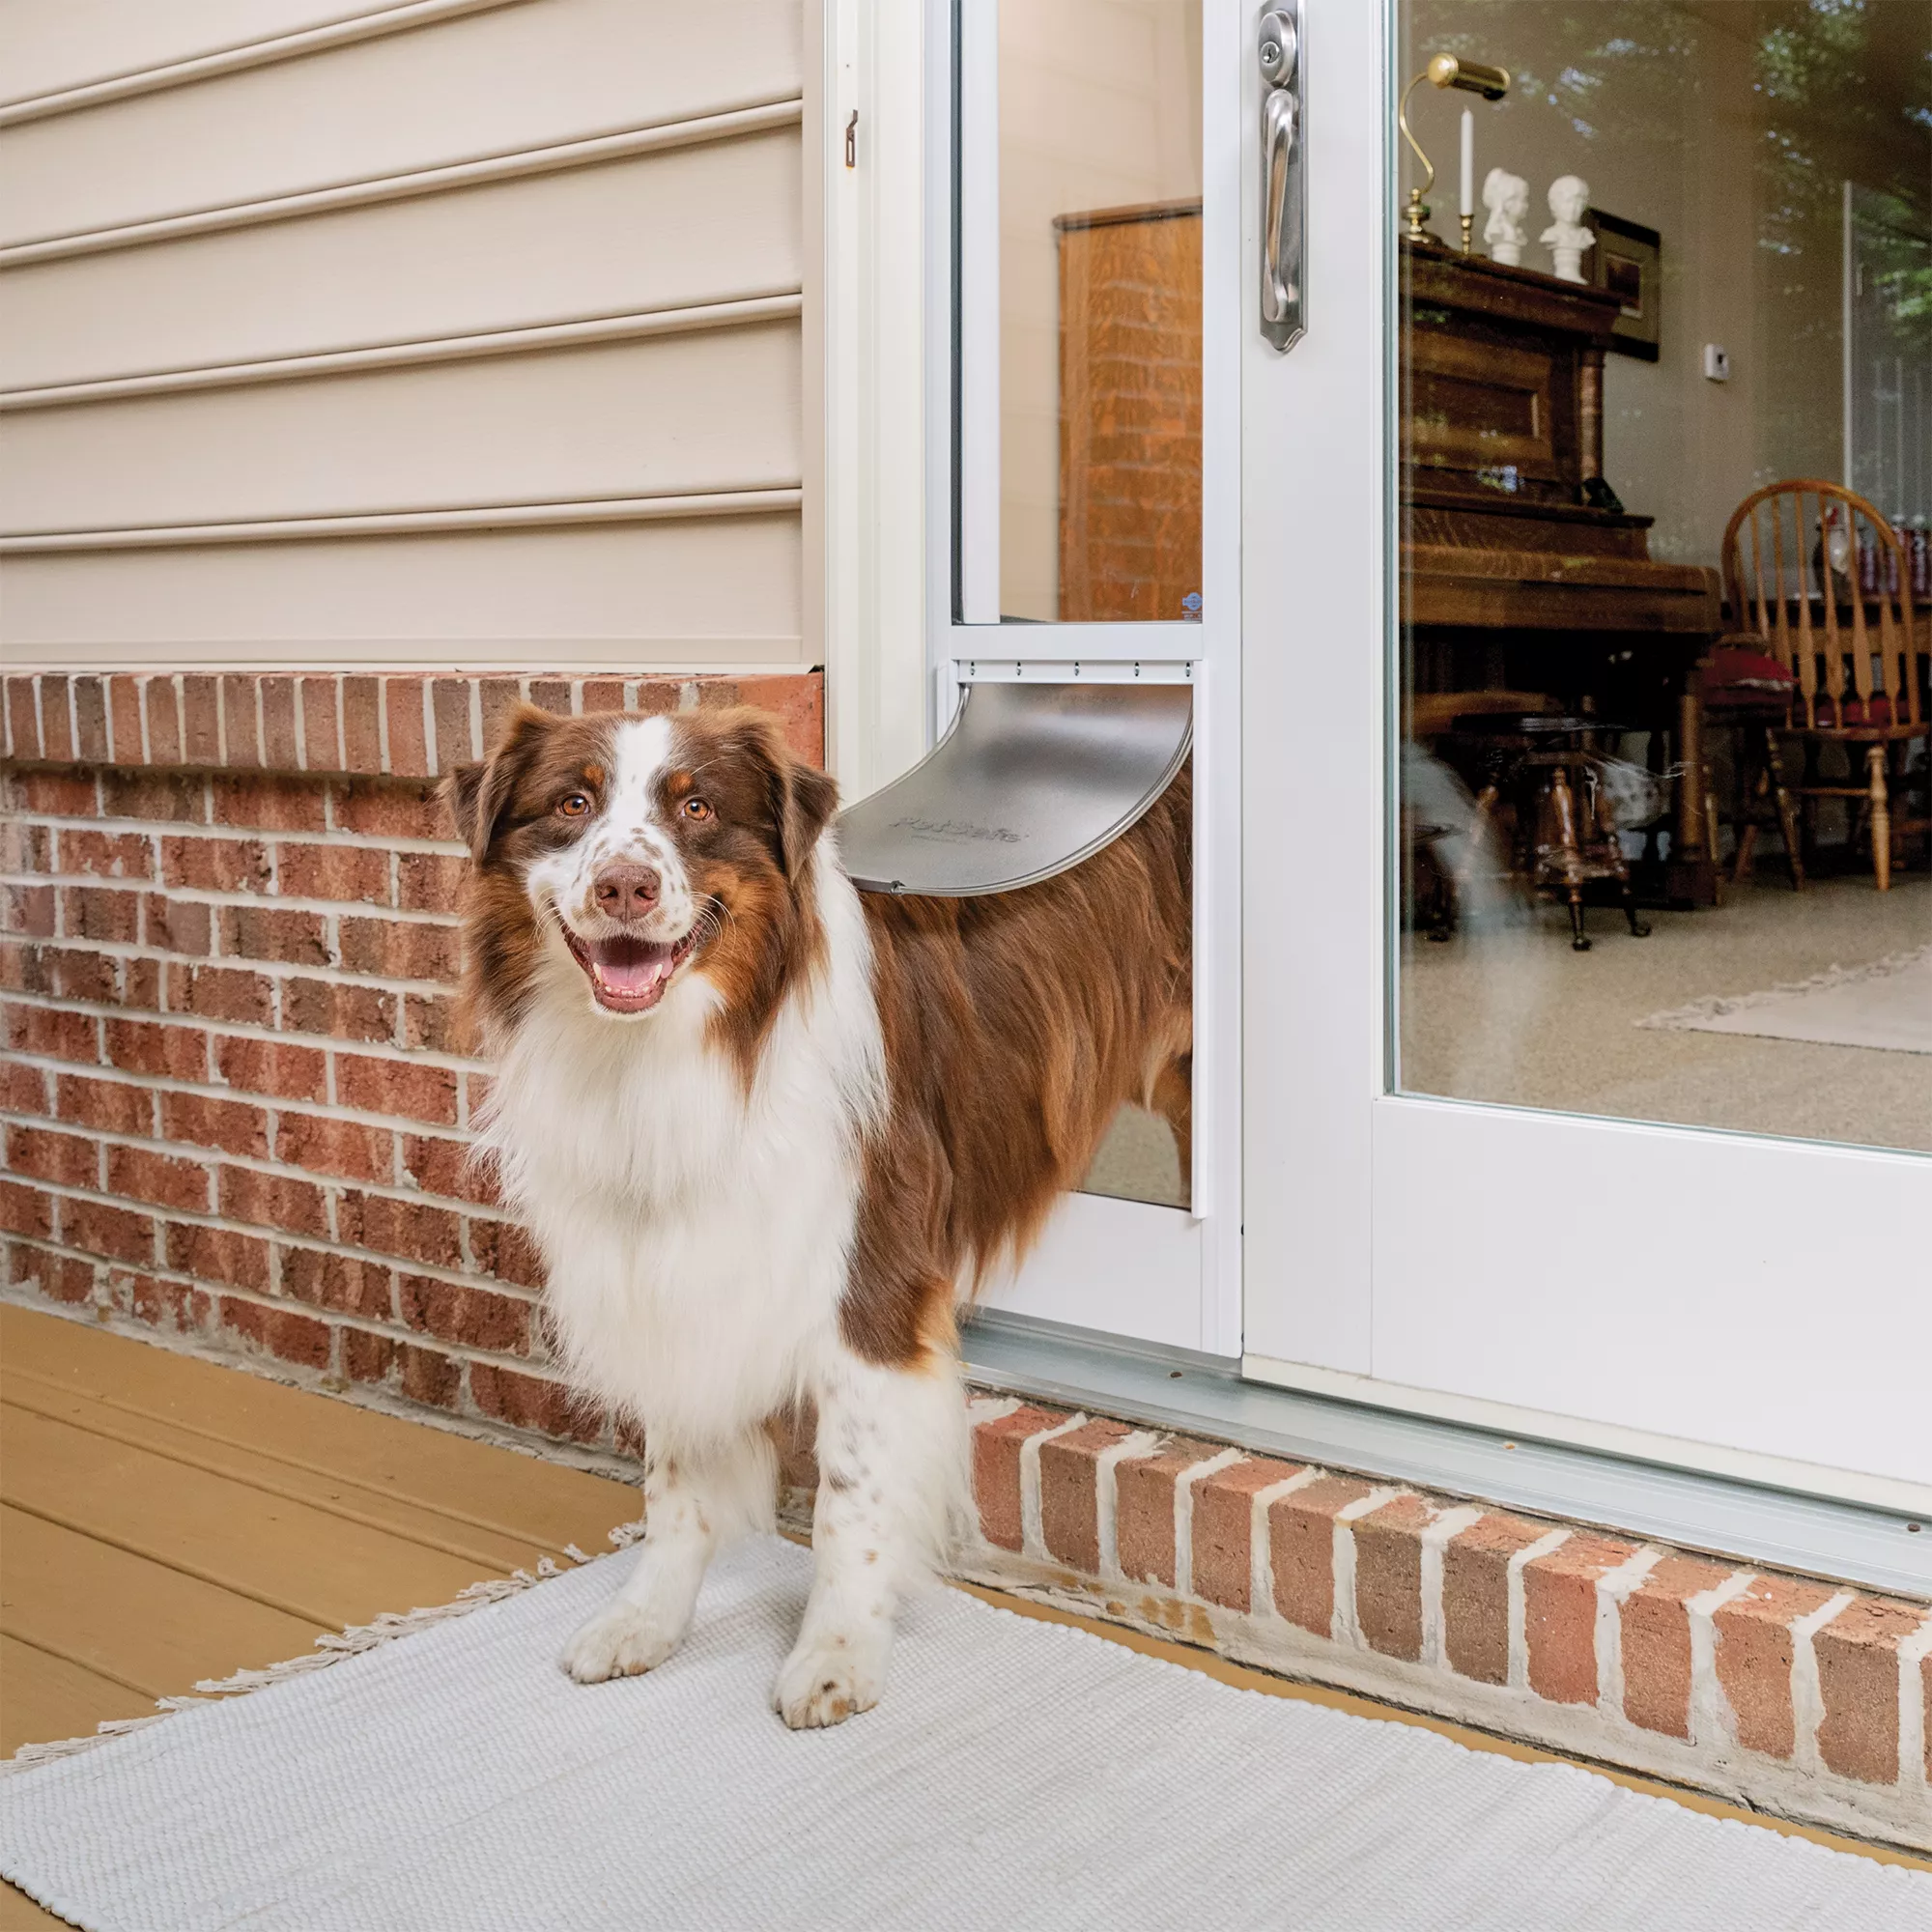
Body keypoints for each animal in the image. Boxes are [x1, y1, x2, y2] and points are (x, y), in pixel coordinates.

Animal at [448, 703, 1190, 1731]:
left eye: (697, 807)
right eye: (571, 804)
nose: (625, 885)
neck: (684, 1049)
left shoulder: (871, 1277)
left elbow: (851, 1493)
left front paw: (838, 1654)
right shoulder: (673, 1266)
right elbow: (674, 1478)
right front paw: (647, 1619)